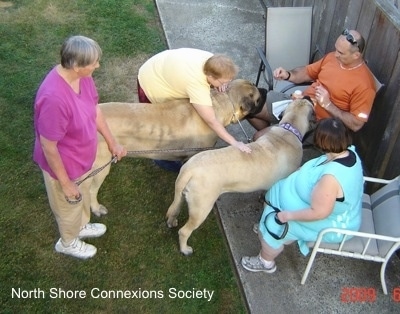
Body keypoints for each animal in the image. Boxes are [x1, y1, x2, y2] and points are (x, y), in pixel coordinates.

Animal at [89, 79, 268, 216]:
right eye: (258, 98)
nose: (266, 89)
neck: (220, 104)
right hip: (99, 168)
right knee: (90, 191)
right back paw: (96, 209)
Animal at [164, 98, 314, 255]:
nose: (309, 97)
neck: (290, 127)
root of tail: (189, 169)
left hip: (181, 194)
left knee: (175, 208)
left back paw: (171, 222)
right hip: (201, 208)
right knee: (184, 231)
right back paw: (185, 249)